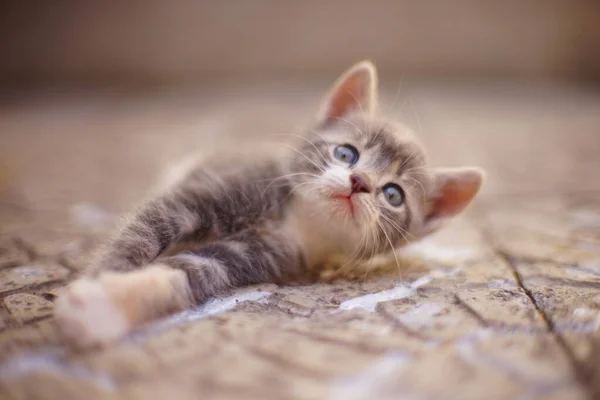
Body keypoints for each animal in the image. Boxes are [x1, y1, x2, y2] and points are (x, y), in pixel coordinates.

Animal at [51, 61, 482, 348]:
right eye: (346, 153)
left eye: (393, 195)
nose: (359, 182)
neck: (296, 219)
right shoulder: (198, 195)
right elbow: (139, 237)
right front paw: (101, 277)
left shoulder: (258, 257)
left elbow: (187, 273)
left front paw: (103, 307)